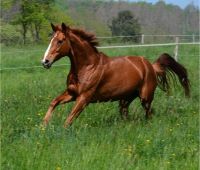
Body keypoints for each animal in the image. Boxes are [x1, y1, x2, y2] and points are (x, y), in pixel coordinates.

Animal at [41, 23, 190, 128]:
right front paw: (43, 126)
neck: (88, 67)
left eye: (60, 41)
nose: (45, 62)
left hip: (145, 97)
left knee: (149, 113)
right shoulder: (72, 93)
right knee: (126, 114)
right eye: (51, 40)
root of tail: (151, 66)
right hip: (126, 99)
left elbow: (69, 119)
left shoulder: (84, 97)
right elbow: (53, 102)